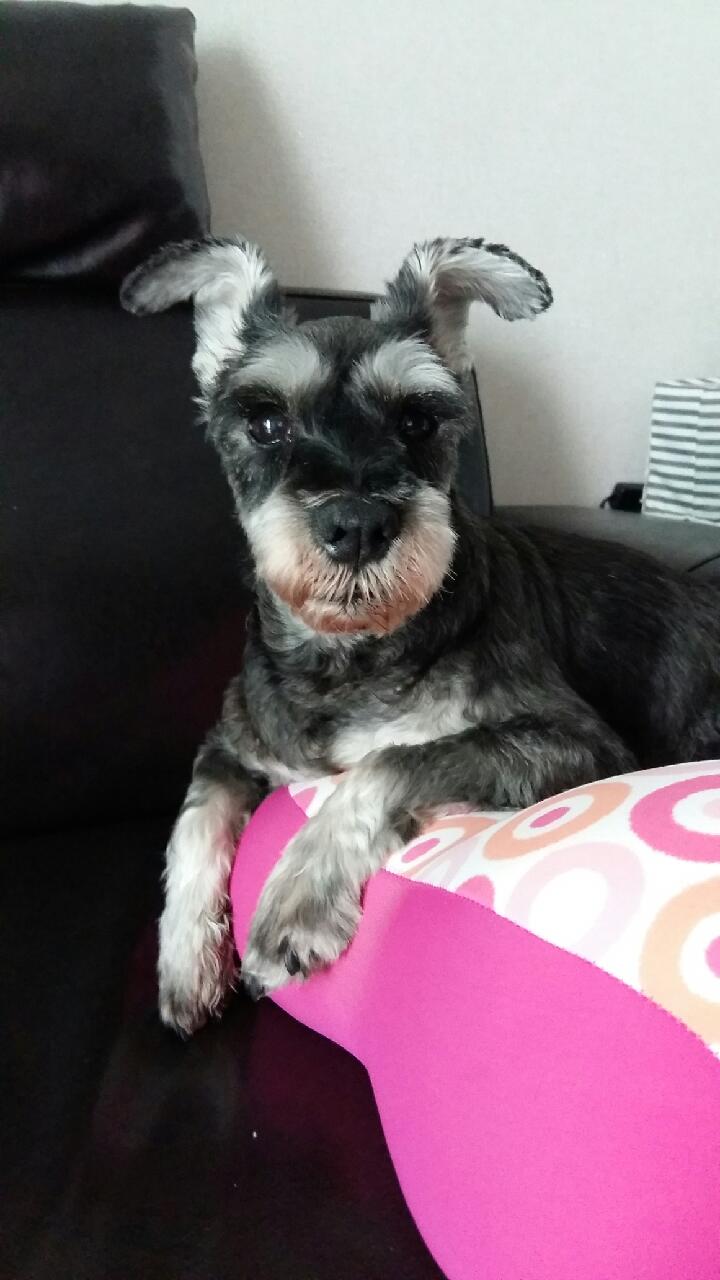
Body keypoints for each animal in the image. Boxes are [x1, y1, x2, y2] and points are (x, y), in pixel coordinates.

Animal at [121, 235, 720, 1036]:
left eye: (418, 420)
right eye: (267, 421)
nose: (357, 526)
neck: (347, 658)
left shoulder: (574, 743)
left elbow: (391, 762)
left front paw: (297, 900)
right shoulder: (233, 745)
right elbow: (192, 821)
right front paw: (185, 966)